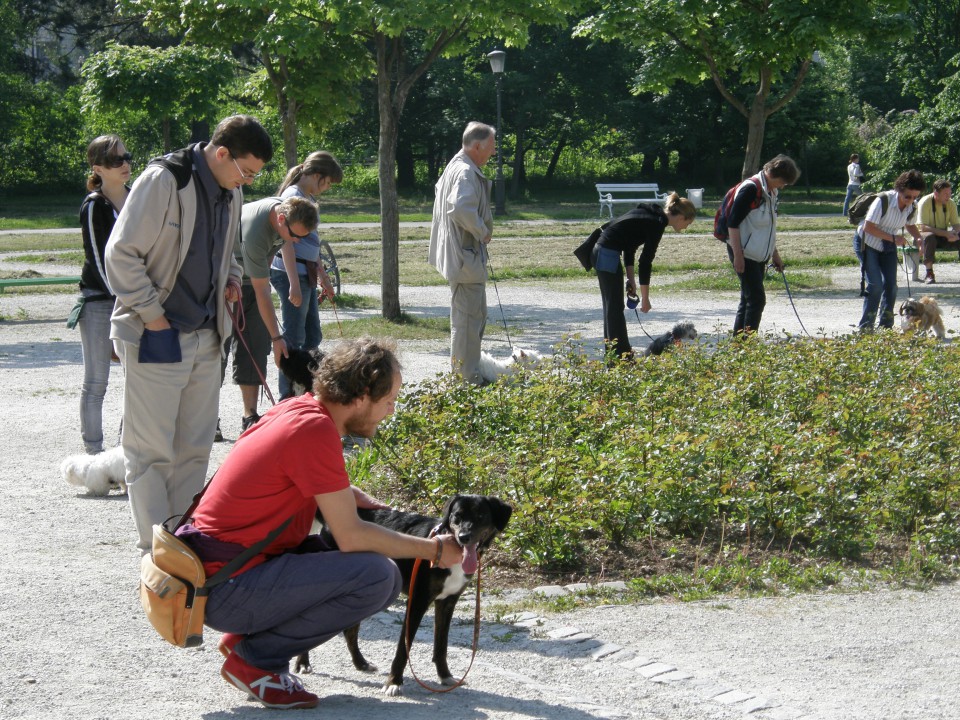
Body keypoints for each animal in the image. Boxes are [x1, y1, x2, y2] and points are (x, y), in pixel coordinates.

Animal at [296, 492, 512, 696]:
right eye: (456, 516)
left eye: (481, 516)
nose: (464, 537)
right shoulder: (417, 601)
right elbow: (403, 649)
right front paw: (394, 682)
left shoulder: (447, 602)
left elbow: (441, 647)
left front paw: (445, 676)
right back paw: (303, 662)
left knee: (350, 630)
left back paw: (361, 663)